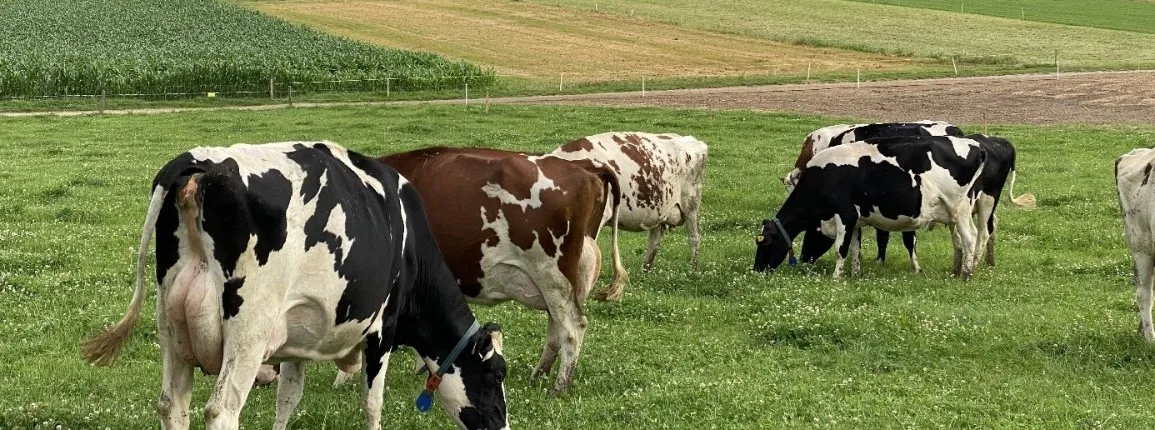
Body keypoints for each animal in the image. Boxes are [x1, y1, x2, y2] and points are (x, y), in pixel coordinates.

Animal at [80, 142, 510, 430]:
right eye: (495, 376)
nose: (504, 427)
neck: (412, 249)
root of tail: (198, 164)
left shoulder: (298, 332)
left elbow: (287, 399)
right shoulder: (382, 331)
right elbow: (373, 404)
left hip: (171, 323)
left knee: (172, 405)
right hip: (248, 330)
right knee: (222, 410)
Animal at [380, 147, 627, 393]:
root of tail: (583, 166)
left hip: (552, 275)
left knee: (572, 328)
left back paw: (559, 386)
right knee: (556, 328)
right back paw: (539, 375)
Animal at [549, 132, 708, 280]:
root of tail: (690, 140)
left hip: (691, 205)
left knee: (694, 237)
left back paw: (693, 271)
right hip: (659, 210)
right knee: (655, 241)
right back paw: (644, 272)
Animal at [754, 136, 986, 279]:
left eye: (764, 243)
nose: (757, 269)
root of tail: (975, 145)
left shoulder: (845, 214)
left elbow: (840, 249)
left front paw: (836, 277)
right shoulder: (855, 220)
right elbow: (855, 249)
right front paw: (855, 275)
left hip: (959, 208)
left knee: (970, 237)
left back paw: (966, 275)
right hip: (956, 212)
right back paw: (960, 271)